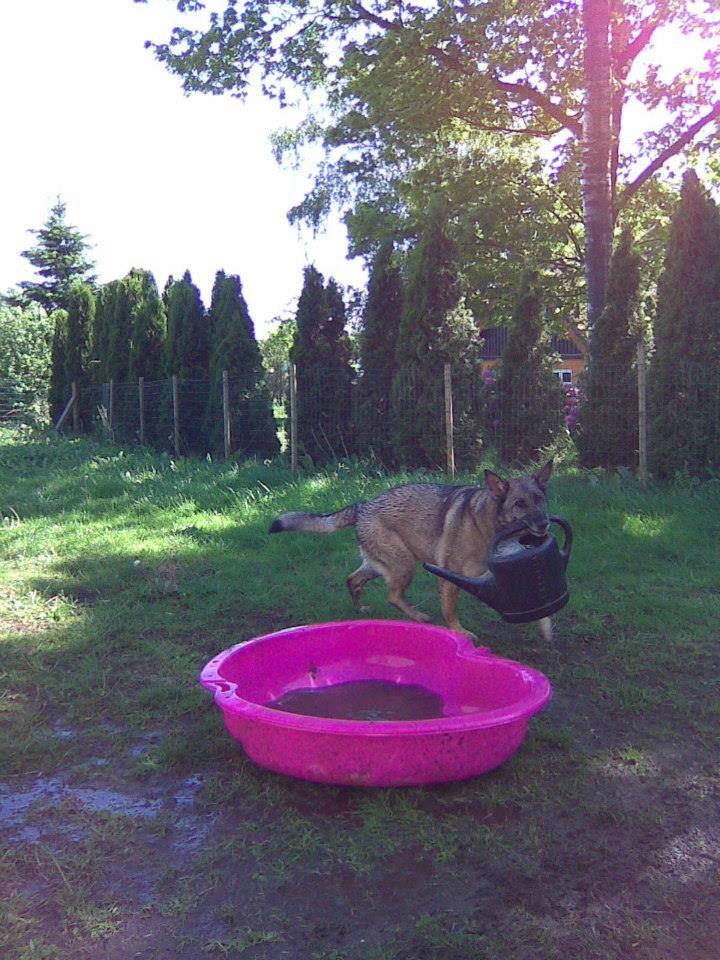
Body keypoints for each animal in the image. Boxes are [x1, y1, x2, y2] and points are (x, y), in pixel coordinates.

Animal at [270, 460, 556, 636]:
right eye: (519, 504)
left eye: (539, 499)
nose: (544, 523)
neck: (486, 523)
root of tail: (362, 508)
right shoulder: (450, 577)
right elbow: (449, 611)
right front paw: (459, 632)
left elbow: (539, 605)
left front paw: (546, 628)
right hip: (404, 565)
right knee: (393, 596)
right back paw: (418, 617)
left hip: (382, 565)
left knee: (353, 580)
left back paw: (361, 609)